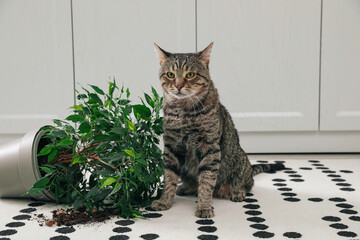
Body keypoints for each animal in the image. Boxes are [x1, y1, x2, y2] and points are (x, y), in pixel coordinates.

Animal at [150, 42, 286, 218]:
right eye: (170, 75)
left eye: (190, 75)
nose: (178, 86)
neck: (185, 111)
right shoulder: (172, 147)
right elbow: (169, 177)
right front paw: (165, 200)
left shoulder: (210, 148)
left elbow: (206, 180)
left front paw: (204, 206)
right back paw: (185, 187)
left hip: (239, 161)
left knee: (247, 183)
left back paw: (237, 191)